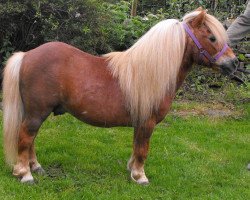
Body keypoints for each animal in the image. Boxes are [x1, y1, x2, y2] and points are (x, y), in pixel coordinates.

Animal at [2, 9, 236, 184]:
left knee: (31, 140)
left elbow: (136, 146)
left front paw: (132, 170)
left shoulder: (140, 121)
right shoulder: (147, 122)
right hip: (36, 113)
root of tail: (27, 55)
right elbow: (143, 149)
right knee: (25, 138)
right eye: (212, 37)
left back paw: (36, 167)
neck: (151, 70)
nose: (233, 63)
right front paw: (140, 177)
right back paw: (25, 174)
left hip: (37, 113)